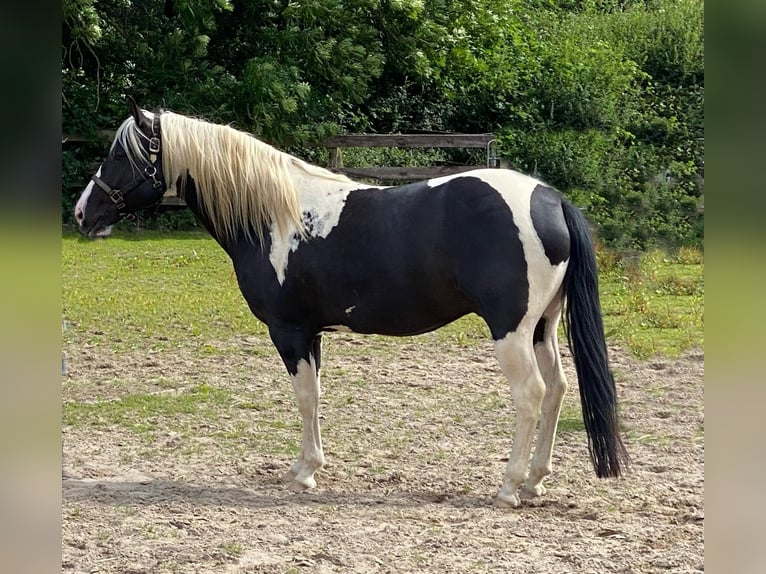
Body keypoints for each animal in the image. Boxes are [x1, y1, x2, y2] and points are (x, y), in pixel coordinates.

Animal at [73, 99, 628, 508]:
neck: (274, 215)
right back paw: (535, 480)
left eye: (120, 155)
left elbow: (305, 397)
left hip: (511, 330)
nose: (82, 213)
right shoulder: (312, 333)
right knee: (557, 390)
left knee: (531, 394)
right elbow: (316, 395)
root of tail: (550, 199)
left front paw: (304, 472)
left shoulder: (290, 330)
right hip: (542, 328)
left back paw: (510, 486)